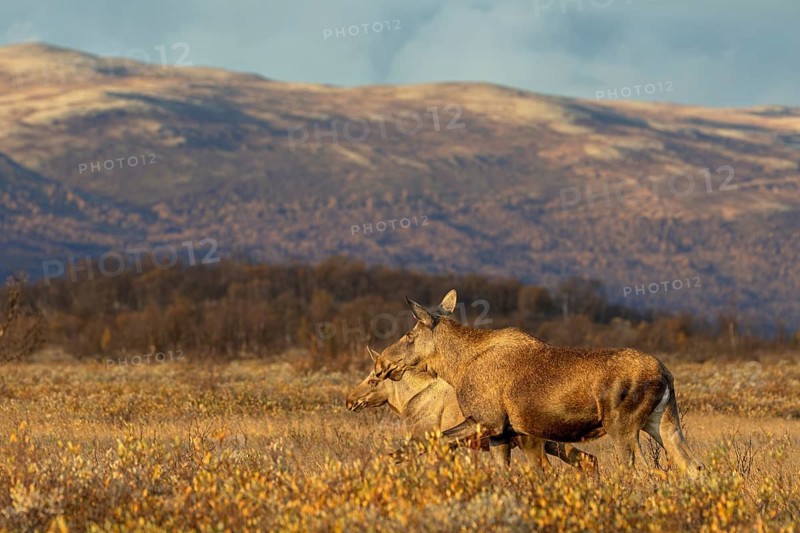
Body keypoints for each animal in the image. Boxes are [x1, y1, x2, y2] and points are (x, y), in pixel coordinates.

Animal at [346, 347, 597, 471]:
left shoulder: (423, 439)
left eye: (373, 380)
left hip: (536, 442)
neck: (407, 402)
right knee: (588, 459)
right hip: (554, 442)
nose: (350, 400)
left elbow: (390, 457)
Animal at [374, 290, 704, 476]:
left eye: (409, 334)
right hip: (662, 421)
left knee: (642, 472)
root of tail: (666, 374)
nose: (382, 364)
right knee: (693, 466)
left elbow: (424, 443)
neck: (457, 366)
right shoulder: (504, 433)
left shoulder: (486, 421)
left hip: (622, 426)